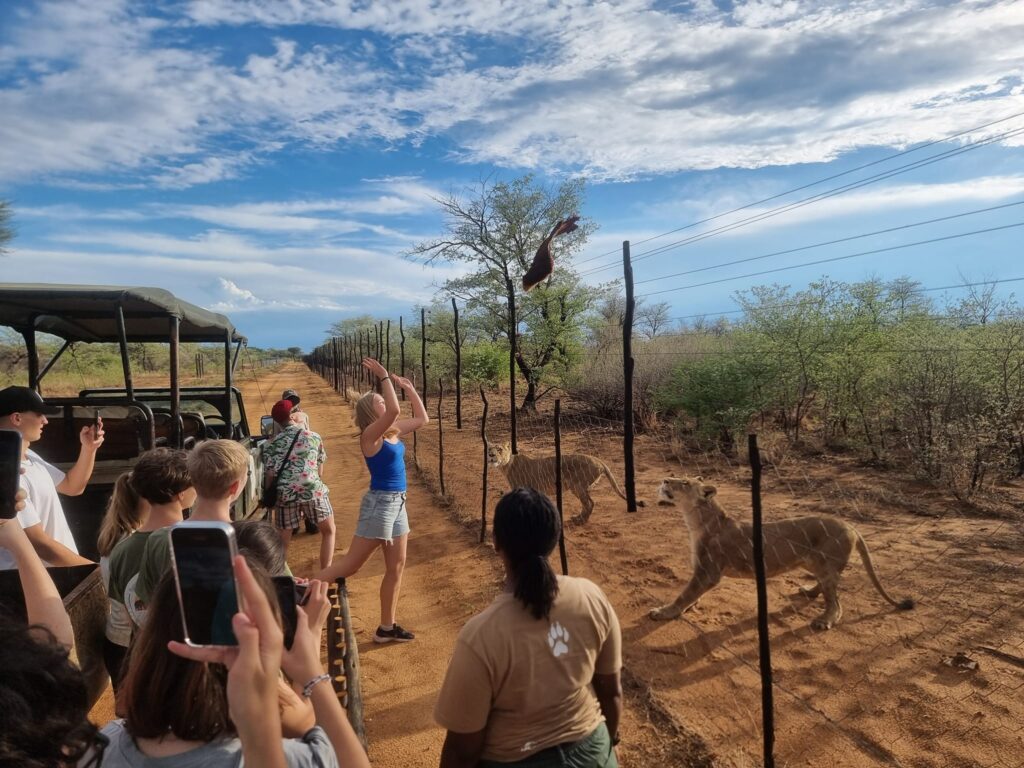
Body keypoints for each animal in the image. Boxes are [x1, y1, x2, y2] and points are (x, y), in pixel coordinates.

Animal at [483, 442, 634, 528]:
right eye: (490, 449)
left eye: (499, 449)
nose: (491, 455)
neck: (506, 465)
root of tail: (598, 459)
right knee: (588, 503)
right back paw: (578, 518)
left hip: (577, 486)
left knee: (590, 503)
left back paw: (581, 521)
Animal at [647, 475, 913, 630]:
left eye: (684, 483)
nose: (665, 479)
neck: (696, 521)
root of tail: (851, 526)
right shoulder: (702, 571)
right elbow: (692, 594)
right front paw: (688, 606)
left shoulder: (709, 571)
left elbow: (685, 594)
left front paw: (664, 612)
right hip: (816, 564)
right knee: (825, 588)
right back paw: (808, 591)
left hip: (827, 565)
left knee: (836, 603)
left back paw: (824, 621)